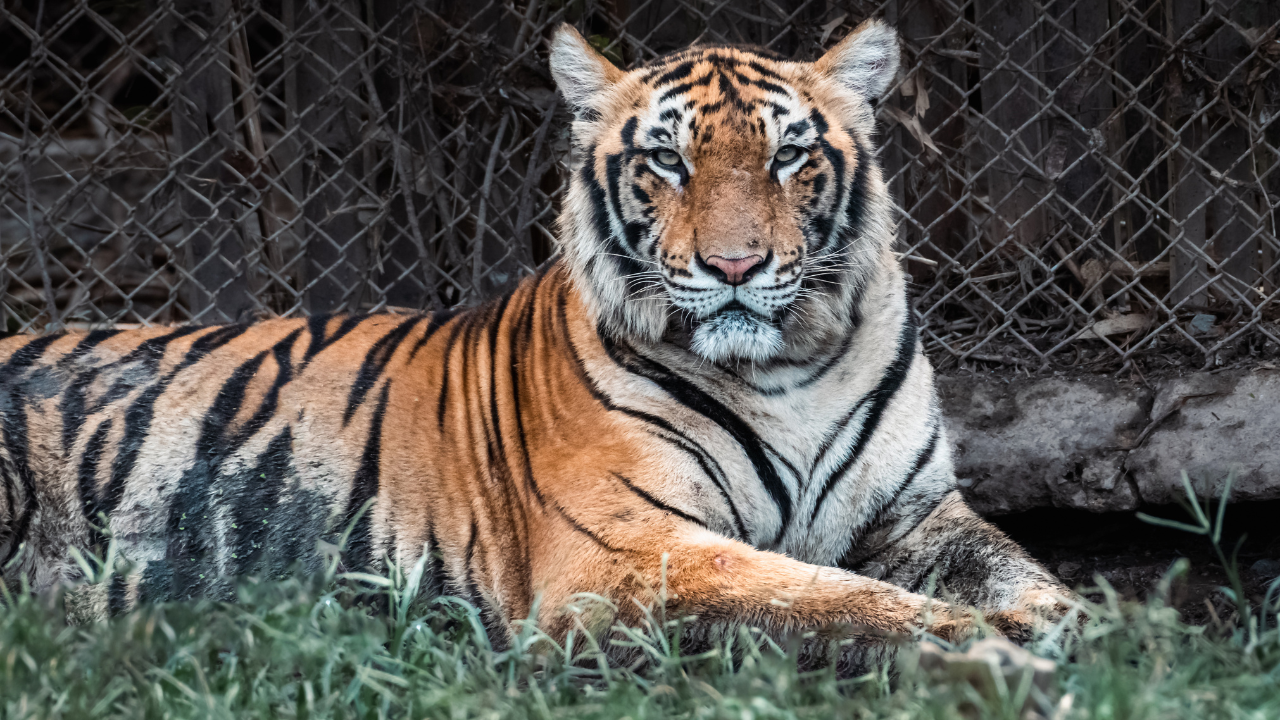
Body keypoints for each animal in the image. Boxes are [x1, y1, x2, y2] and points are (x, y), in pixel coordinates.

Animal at [0, 20, 1064, 671]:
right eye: (667, 160)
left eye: (788, 156)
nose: (733, 265)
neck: (785, 369)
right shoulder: (624, 553)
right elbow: (825, 599)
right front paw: (986, 647)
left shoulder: (917, 514)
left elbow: (1021, 570)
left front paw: (1068, 625)